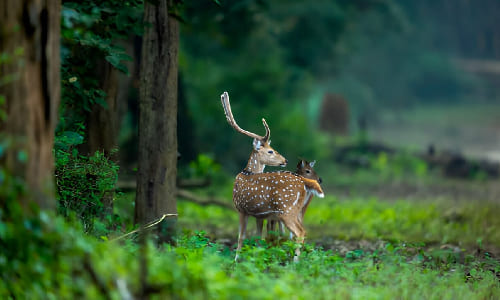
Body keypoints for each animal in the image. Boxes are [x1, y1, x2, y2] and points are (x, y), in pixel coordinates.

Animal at [220, 91, 324, 260]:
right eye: (270, 151)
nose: (285, 160)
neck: (245, 173)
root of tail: (303, 183)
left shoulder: (241, 208)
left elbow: (241, 236)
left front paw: (236, 261)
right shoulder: (260, 215)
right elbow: (259, 237)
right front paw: (256, 258)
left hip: (286, 210)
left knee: (299, 232)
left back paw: (295, 262)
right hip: (296, 210)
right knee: (300, 231)